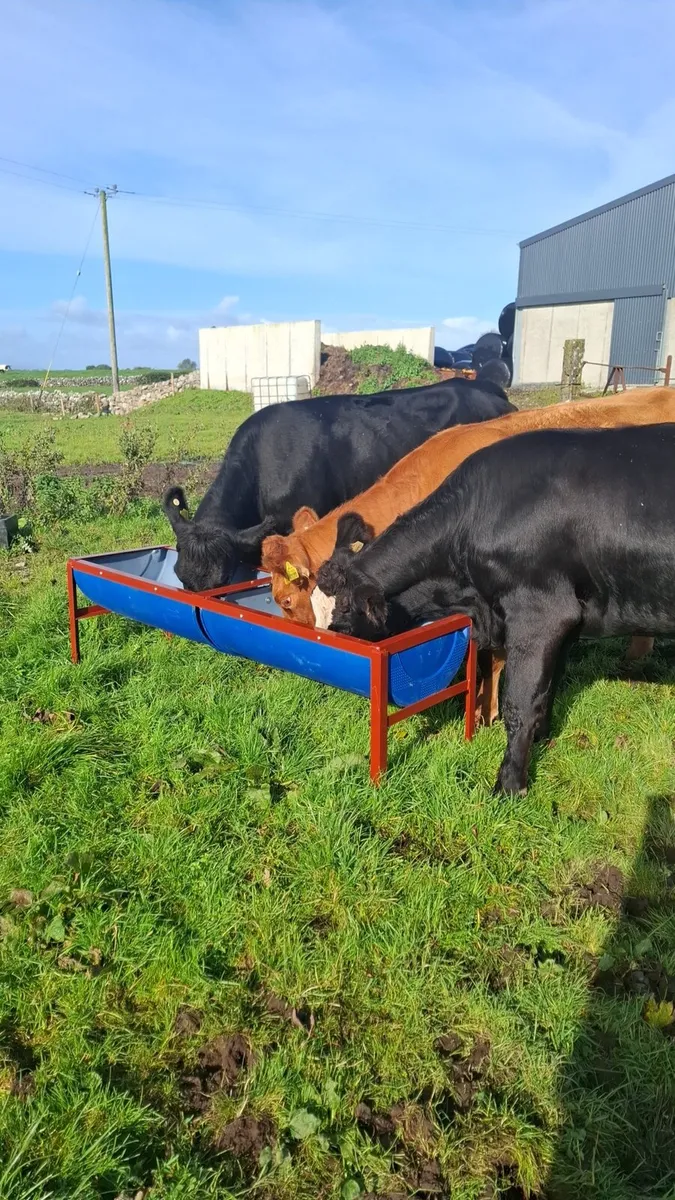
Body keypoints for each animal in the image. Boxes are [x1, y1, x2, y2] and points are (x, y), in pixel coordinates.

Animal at [314, 424, 675, 795]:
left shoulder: (539, 614)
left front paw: (510, 784)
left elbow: (519, 702)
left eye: (346, 606)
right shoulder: (566, 624)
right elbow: (546, 690)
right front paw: (541, 741)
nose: (330, 635)